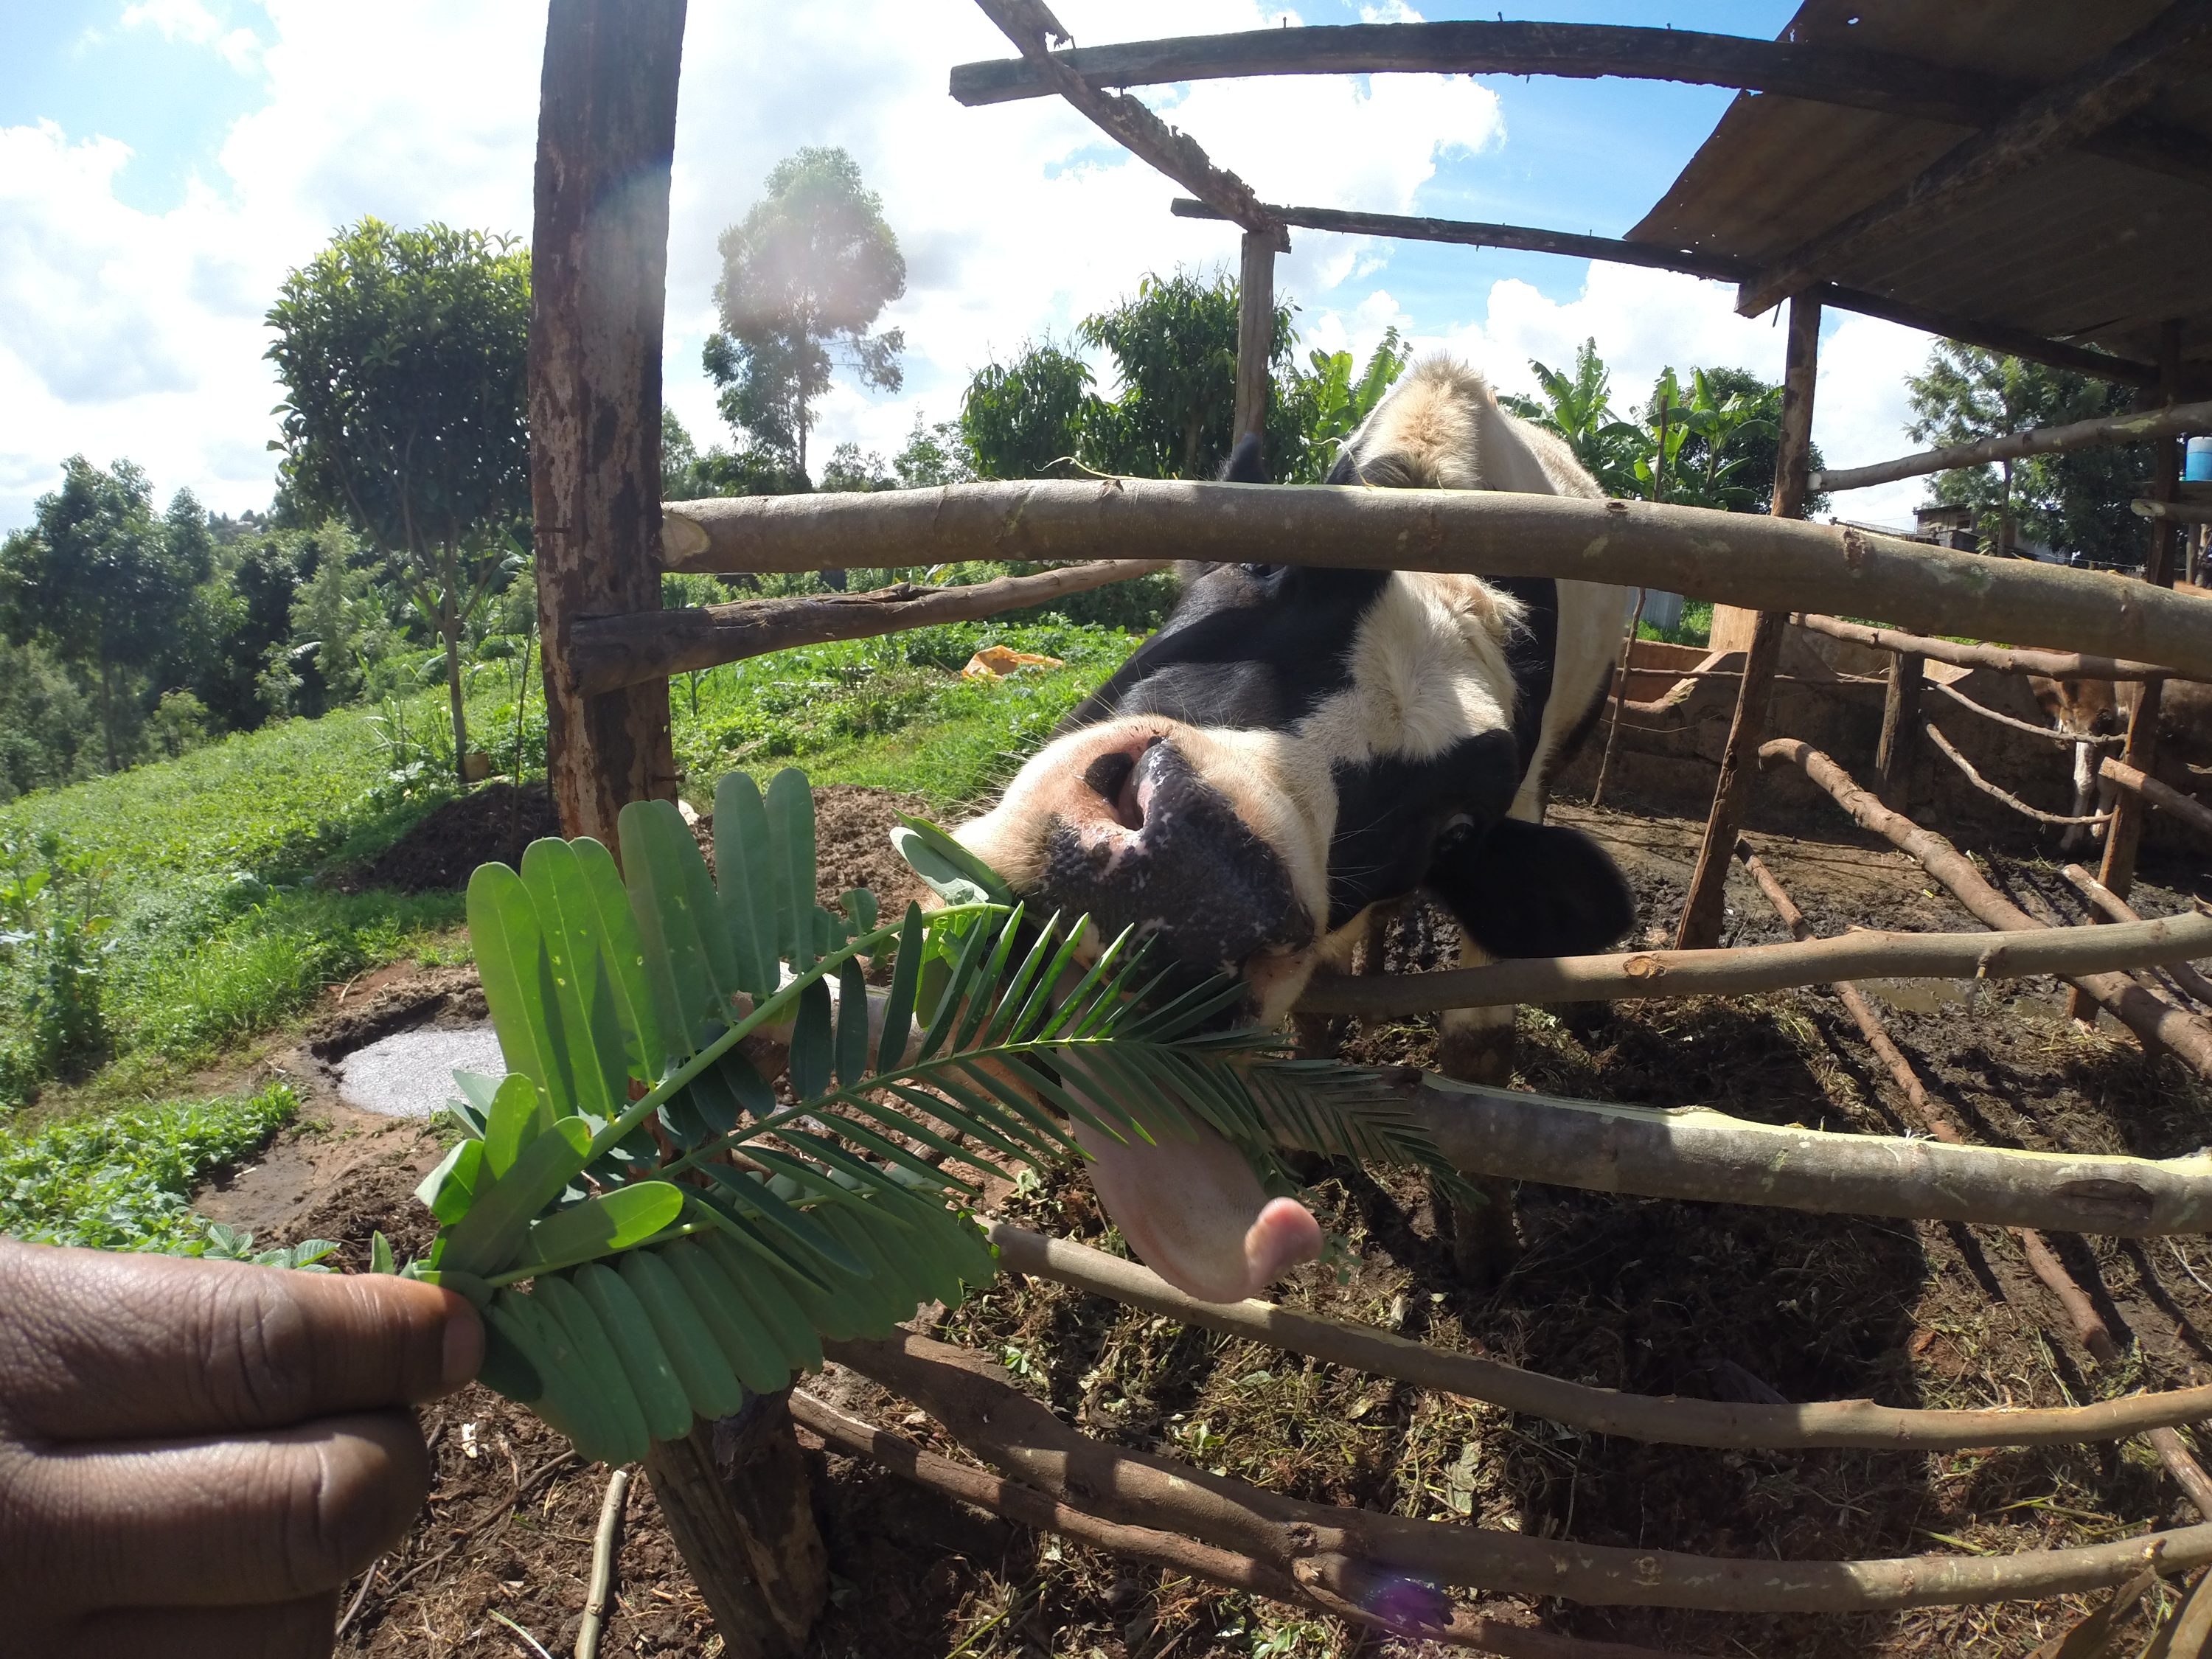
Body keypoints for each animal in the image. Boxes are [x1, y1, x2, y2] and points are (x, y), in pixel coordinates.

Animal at [951, 357, 1637, 1302]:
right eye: (1262, 565)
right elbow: (1322, 1006)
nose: (1196, 879)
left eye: (1457, 829)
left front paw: (1486, 1244)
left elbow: (1481, 1053)